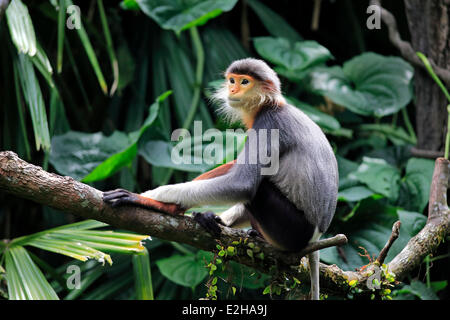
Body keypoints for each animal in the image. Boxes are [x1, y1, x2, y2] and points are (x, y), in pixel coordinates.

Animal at [103, 57, 338, 300]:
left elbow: (243, 185)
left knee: (258, 188)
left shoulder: (269, 124)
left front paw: (149, 197)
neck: (270, 105)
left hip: (291, 231)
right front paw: (207, 216)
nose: (233, 89)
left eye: (245, 82)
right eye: (232, 80)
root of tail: (316, 236)